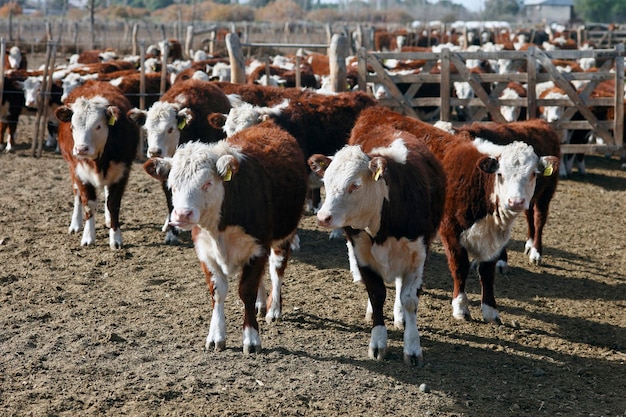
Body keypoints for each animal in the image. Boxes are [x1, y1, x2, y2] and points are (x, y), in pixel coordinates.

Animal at [53, 82, 139, 250]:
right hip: (72, 169)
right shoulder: (80, 173)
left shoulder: (122, 173)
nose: (81, 149)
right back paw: (75, 224)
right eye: (72, 126)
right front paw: (88, 236)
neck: (98, 161)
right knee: (77, 195)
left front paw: (116, 238)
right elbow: (88, 204)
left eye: (98, 126)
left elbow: (113, 204)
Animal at [142, 118, 308, 352]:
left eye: (207, 183)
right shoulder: (205, 252)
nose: (182, 214)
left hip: (284, 233)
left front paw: (251, 339)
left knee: (277, 268)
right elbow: (218, 292)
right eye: (172, 186)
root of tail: (267, 124)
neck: (219, 227)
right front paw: (216, 336)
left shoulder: (258, 247)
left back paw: (273, 308)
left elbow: (246, 291)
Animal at [306, 122, 444, 362]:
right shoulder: (361, 252)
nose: (323, 217)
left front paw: (412, 347)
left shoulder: (418, 254)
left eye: (355, 185)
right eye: (326, 181)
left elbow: (409, 298)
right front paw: (378, 341)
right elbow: (376, 293)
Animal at [348, 106, 560, 322]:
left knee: (537, 218)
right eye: (501, 174)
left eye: (533, 174)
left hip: (545, 193)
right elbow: (460, 266)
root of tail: (375, 110)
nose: (516, 202)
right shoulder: (450, 229)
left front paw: (490, 309)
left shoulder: (493, 237)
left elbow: (487, 270)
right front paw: (460, 306)